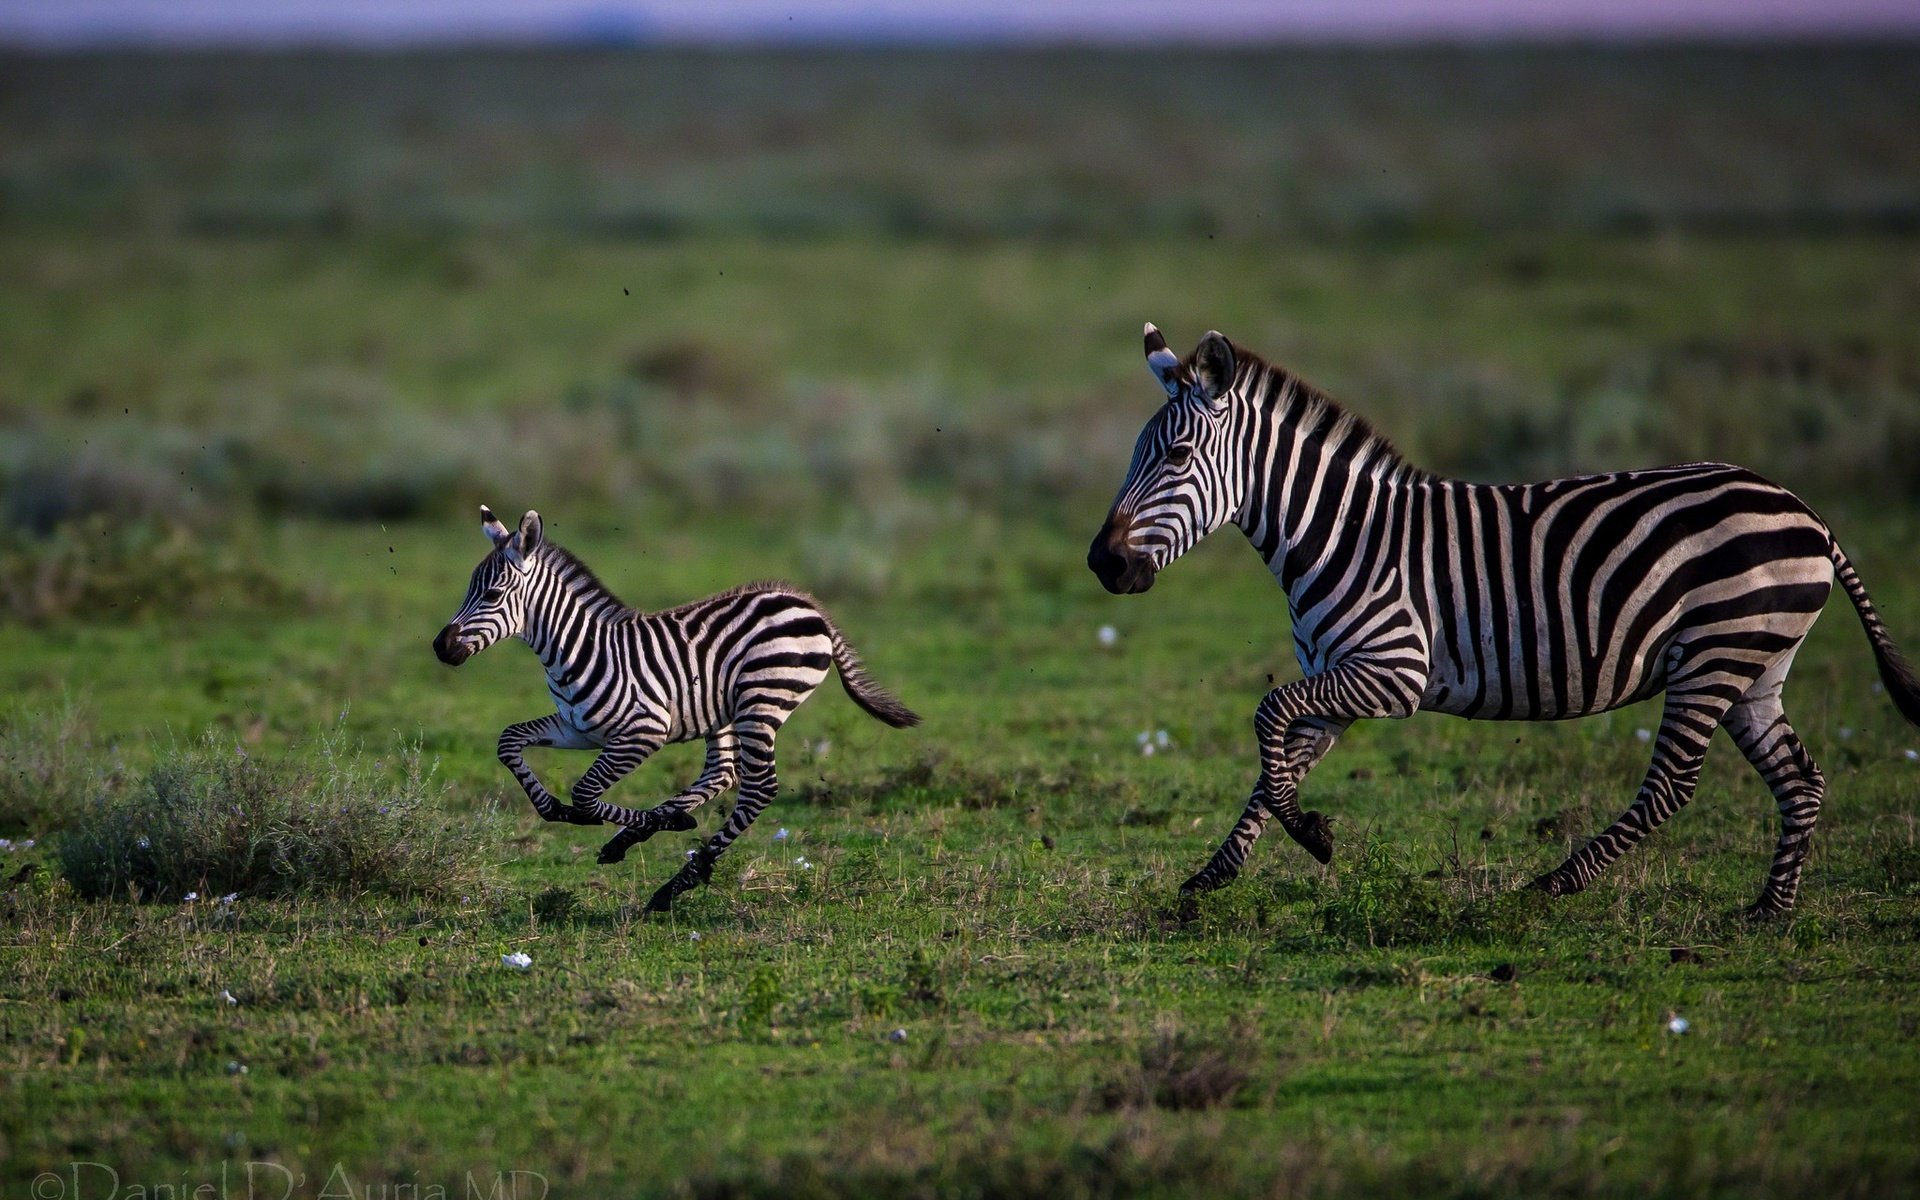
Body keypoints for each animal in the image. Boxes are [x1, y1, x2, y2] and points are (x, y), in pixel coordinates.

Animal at [433, 503, 921, 906]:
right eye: (468, 590)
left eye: (492, 596)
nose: (440, 647)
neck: (576, 649)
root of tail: (808, 604)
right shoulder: (578, 729)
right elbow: (509, 741)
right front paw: (560, 812)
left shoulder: (642, 732)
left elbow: (586, 794)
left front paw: (636, 822)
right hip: (726, 712)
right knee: (723, 774)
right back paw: (642, 837)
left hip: (761, 701)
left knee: (758, 788)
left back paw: (676, 882)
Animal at [1090, 322, 1912, 913]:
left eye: (1178, 456)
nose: (1104, 564)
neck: (1340, 532)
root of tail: (1806, 512)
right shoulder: (1336, 680)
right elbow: (1277, 763)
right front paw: (1223, 870)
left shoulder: (1392, 670)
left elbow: (1266, 718)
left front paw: (1309, 838)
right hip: (1755, 665)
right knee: (1800, 781)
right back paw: (1769, 912)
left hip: (1716, 654)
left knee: (1673, 785)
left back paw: (1552, 885)